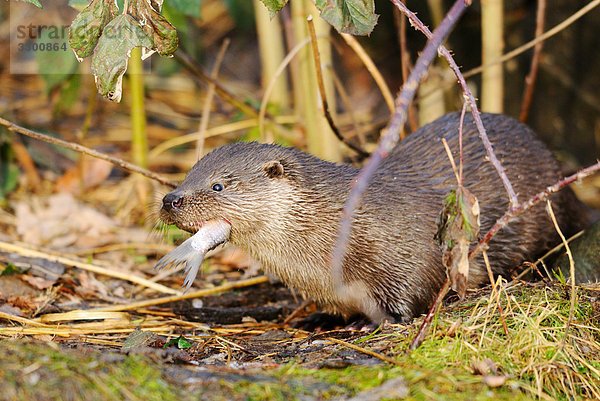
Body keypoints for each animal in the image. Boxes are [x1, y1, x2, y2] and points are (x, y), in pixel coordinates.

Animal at [157, 111, 592, 322]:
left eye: (217, 186)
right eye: (187, 173)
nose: (170, 199)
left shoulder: (410, 253)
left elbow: (414, 293)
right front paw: (316, 321)